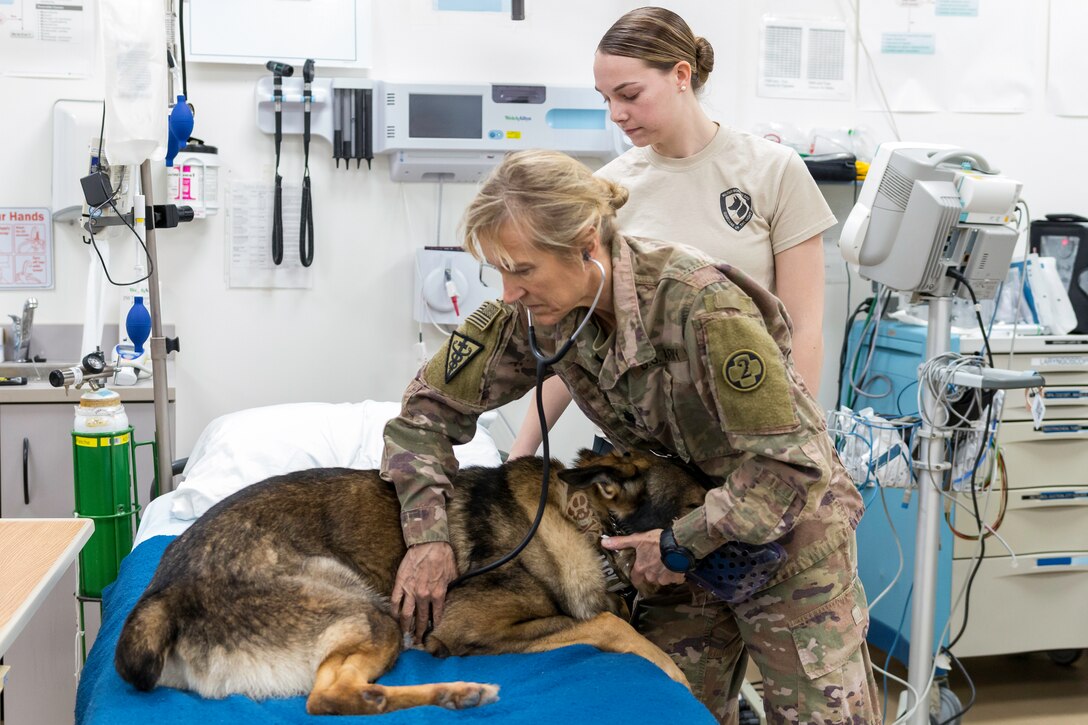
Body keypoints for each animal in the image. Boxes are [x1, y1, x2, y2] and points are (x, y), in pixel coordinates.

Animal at [112, 448, 705, 714]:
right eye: (696, 504)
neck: (579, 522)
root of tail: (162, 596)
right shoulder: (469, 627)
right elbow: (608, 624)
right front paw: (676, 674)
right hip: (369, 609)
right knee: (327, 699)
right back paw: (458, 692)